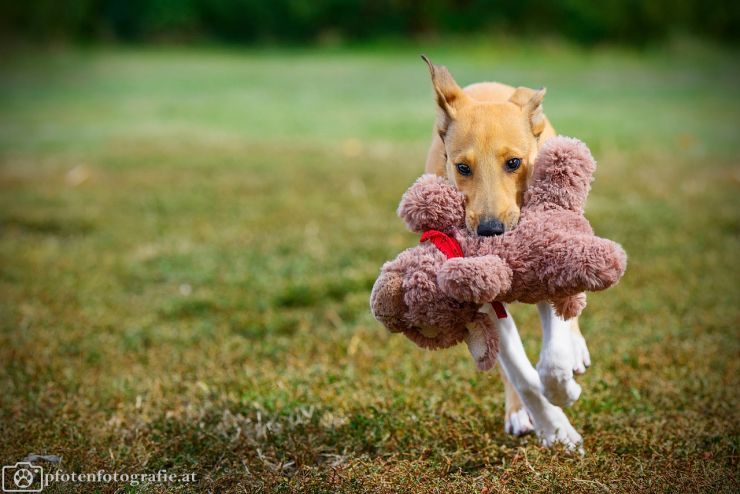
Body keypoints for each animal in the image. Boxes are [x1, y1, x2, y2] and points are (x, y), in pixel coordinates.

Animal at [422, 56, 588, 450]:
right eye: (462, 167)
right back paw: (519, 413)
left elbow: (552, 360)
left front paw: (564, 391)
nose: (490, 231)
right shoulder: (478, 294)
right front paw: (555, 427)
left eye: (514, 163)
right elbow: (521, 374)